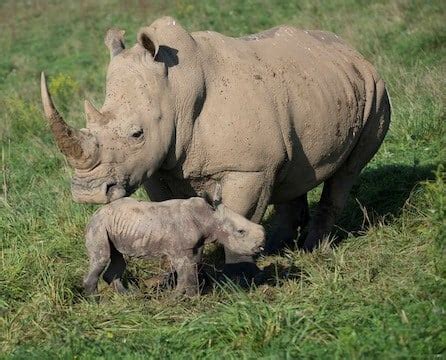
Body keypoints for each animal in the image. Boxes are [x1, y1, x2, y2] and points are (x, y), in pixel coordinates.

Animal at [41, 15, 390, 278]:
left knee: (347, 171)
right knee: (294, 170)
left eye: (137, 134)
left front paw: (239, 274)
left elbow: (239, 213)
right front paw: (178, 271)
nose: (87, 193)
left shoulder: (249, 168)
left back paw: (312, 248)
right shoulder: (158, 165)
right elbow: (168, 215)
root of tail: (351, 50)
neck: (175, 92)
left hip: (375, 90)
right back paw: (278, 247)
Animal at [83, 197, 264, 296]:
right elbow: (185, 273)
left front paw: (193, 297)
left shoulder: (195, 247)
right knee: (102, 257)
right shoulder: (180, 250)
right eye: (241, 231)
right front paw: (177, 298)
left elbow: (192, 270)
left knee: (118, 259)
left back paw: (130, 296)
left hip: (112, 225)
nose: (262, 244)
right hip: (99, 225)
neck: (209, 217)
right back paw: (96, 302)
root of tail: (96, 213)